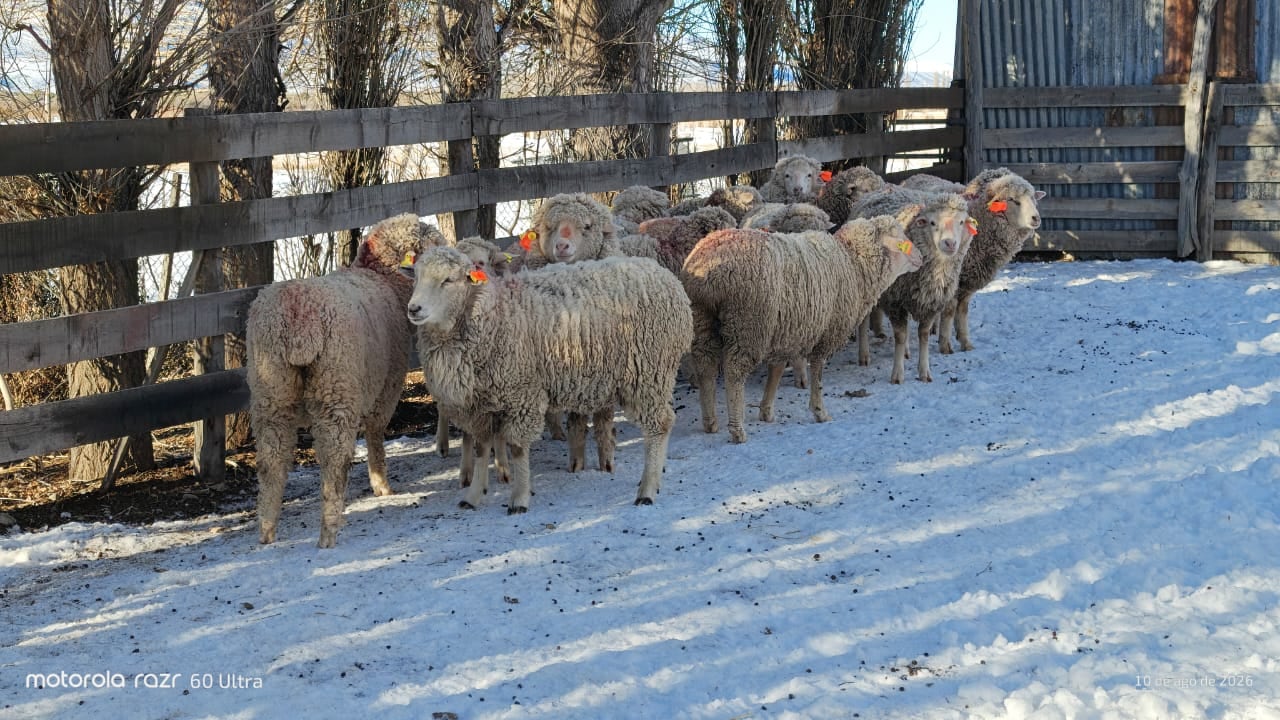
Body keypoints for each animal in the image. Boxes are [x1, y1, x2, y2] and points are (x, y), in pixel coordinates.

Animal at [248, 212, 441, 548]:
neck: (383, 278)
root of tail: (298, 320)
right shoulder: (387, 385)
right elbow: (376, 432)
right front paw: (381, 484)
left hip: (270, 391)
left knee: (271, 461)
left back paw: (268, 531)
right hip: (335, 387)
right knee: (334, 458)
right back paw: (329, 530)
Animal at [407, 249, 693, 512]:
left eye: (448, 280)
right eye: (417, 277)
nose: (413, 309)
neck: (490, 313)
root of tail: (667, 278)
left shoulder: (522, 394)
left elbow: (517, 447)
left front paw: (519, 499)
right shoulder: (481, 406)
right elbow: (481, 449)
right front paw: (473, 496)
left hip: (649, 373)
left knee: (659, 425)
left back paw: (648, 489)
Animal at [681, 217, 923, 444]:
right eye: (900, 240)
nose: (921, 258)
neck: (853, 264)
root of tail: (707, 270)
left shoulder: (784, 332)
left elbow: (777, 369)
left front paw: (766, 410)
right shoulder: (826, 331)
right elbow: (817, 371)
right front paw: (819, 411)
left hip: (703, 319)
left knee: (706, 368)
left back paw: (710, 422)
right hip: (748, 324)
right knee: (734, 373)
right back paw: (737, 430)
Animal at [849, 187, 973, 384]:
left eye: (961, 222)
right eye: (932, 222)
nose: (950, 243)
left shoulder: (930, 304)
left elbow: (923, 335)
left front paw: (924, 371)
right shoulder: (895, 302)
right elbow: (900, 336)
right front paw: (897, 375)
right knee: (864, 321)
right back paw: (864, 355)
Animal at [938, 168, 1045, 354]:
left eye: (1033, 198)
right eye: (1012, 200)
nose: (1036, 218)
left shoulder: (969, 279)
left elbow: (963, 310)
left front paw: (965, 342)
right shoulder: (953, 278)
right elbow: (950, 310)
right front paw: (945, 346)